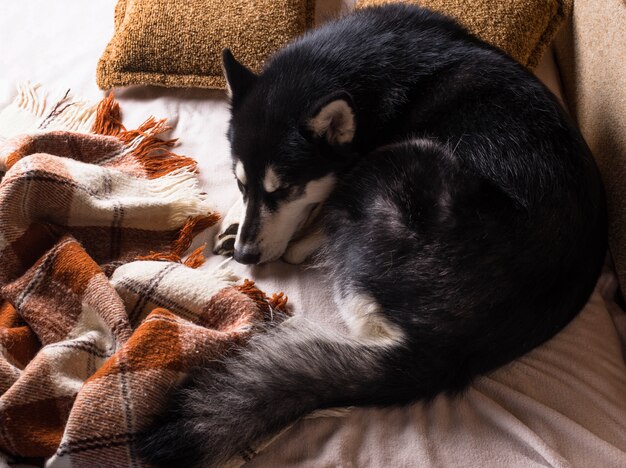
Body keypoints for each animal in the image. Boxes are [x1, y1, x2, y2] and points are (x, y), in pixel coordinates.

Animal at [136, 3, 604, 464]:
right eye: (240, 183)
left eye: (285, 189)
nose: (246, 256)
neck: (354, 70)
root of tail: (455, 345)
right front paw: (236, 219)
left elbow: (322, 206)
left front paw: (296, 230)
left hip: (405, 157)